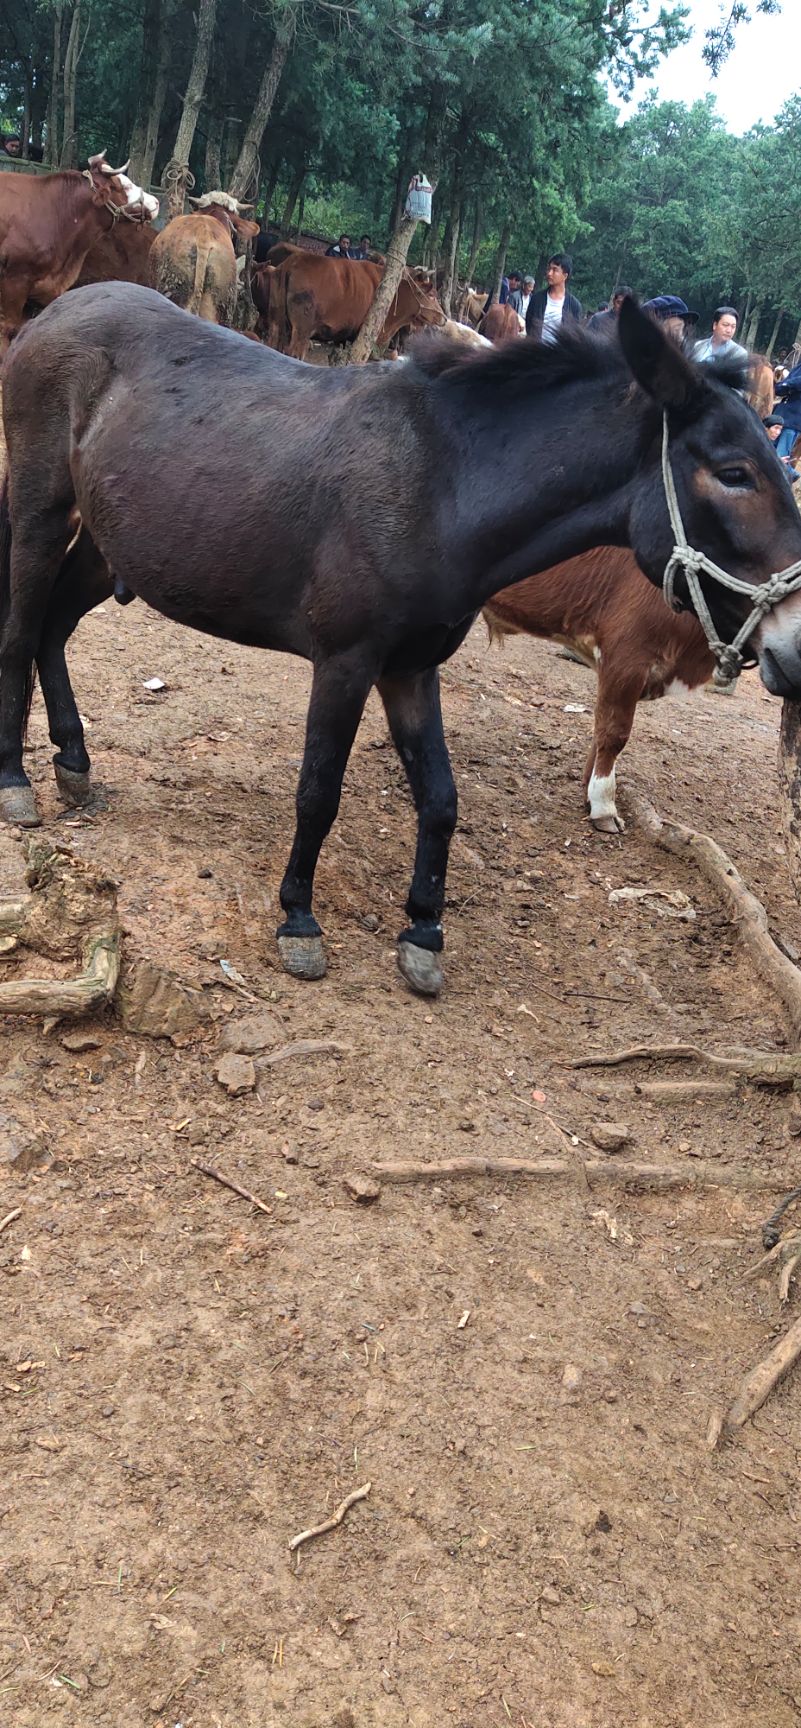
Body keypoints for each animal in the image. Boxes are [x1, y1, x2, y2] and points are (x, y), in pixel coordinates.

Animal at [257, 252, 445, 361]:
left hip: (276, 323)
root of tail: (293, 261)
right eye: (432, 294)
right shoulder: (374, 339)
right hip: (302, 331)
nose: (443, 318)